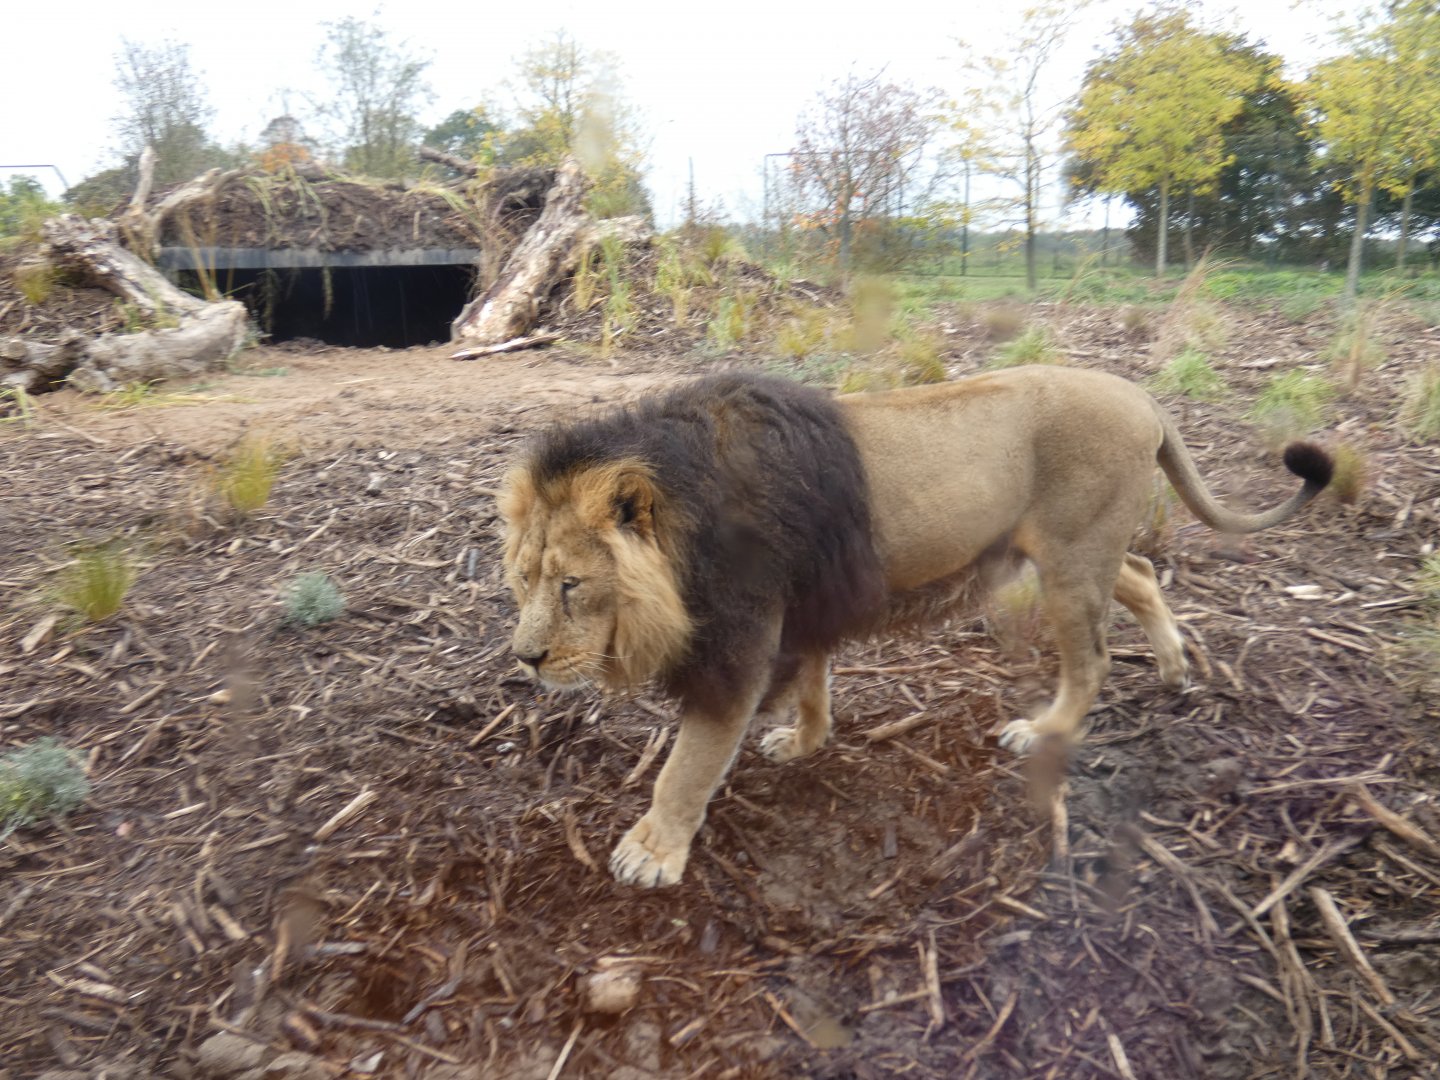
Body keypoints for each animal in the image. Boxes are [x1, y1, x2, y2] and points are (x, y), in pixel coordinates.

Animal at [498, 369, 1331, 888]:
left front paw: (652, 851)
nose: (527, 660)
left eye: (572, 586)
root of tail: (1143, 396)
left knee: (1092, 658)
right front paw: (805, 742)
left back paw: (1046, 728)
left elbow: (689, 763)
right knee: (1143, 574)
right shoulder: (807, 604)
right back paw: (1172, 665)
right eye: (523, 581)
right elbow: (814, 683)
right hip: (1076, 553)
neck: (687, 519)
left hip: (1069, 562)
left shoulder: (739, 646)